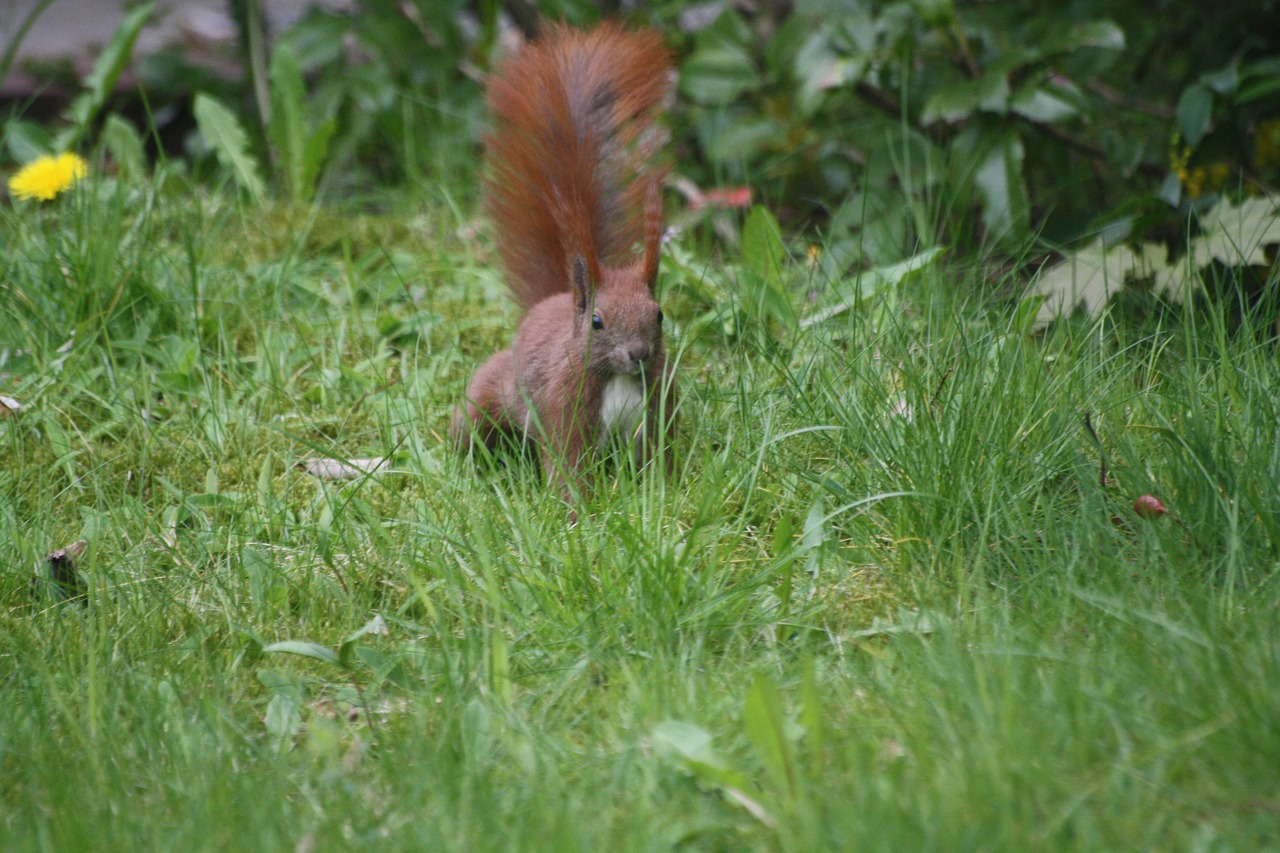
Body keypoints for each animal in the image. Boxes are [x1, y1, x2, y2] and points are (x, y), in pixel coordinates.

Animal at [453, 21, 680, 491]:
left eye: (660, 314)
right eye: (596, 321)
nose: (639, 353)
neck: (617, 378)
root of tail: (549, 301)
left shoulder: (658, 407)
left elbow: (659, 459)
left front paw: (666, 494)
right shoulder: (563, 408)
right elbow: (568, 463)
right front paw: (575, 507)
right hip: (491, 392)